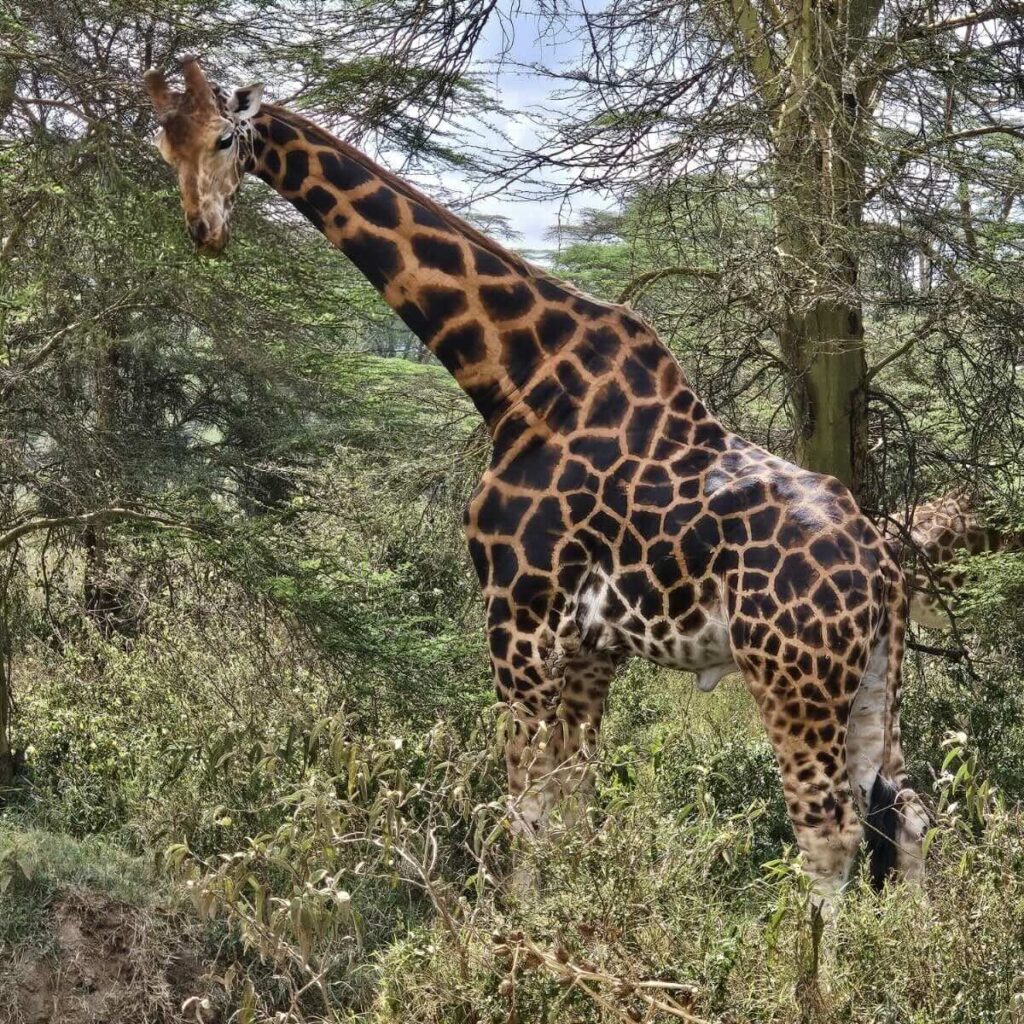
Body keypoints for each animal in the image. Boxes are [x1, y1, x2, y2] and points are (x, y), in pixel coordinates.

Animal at [142, 57, 928, 900]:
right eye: (165, 146)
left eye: (226, 138)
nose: (204, 230)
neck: (516, 379)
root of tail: (883, 567)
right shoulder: (591, 642)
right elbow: (571, 798)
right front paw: (577, 908)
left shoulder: (517, 608)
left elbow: (522, 803)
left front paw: (514, 923)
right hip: (873, 678)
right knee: (906, 810)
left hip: (792, 675)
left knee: (829, 831)